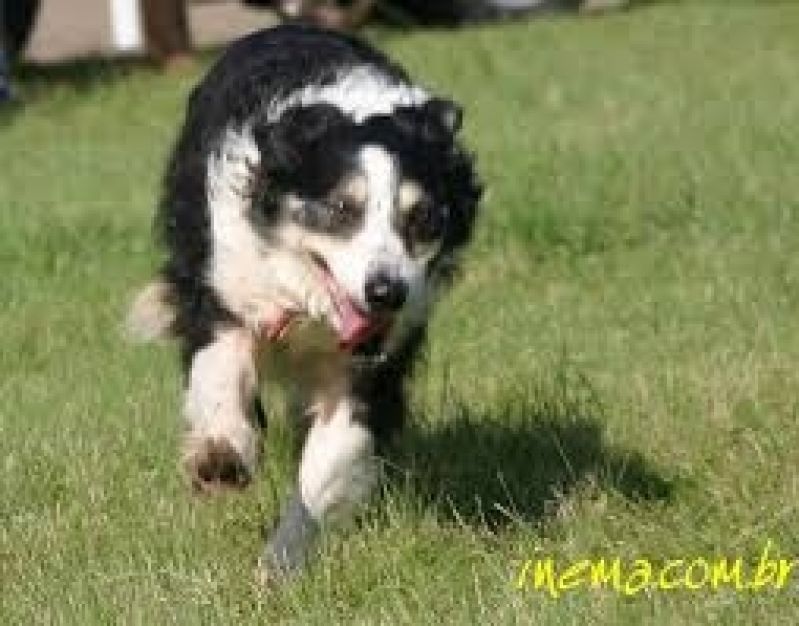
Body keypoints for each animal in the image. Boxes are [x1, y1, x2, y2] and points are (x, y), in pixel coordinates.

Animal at [128, 25, 482, 580]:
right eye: (341, 208)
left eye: (424, 217)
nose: (386, 291)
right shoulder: (223, 283)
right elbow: (220, 367)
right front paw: (221, 458)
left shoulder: (378, 354)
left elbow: (331, 457)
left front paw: (280, 566)